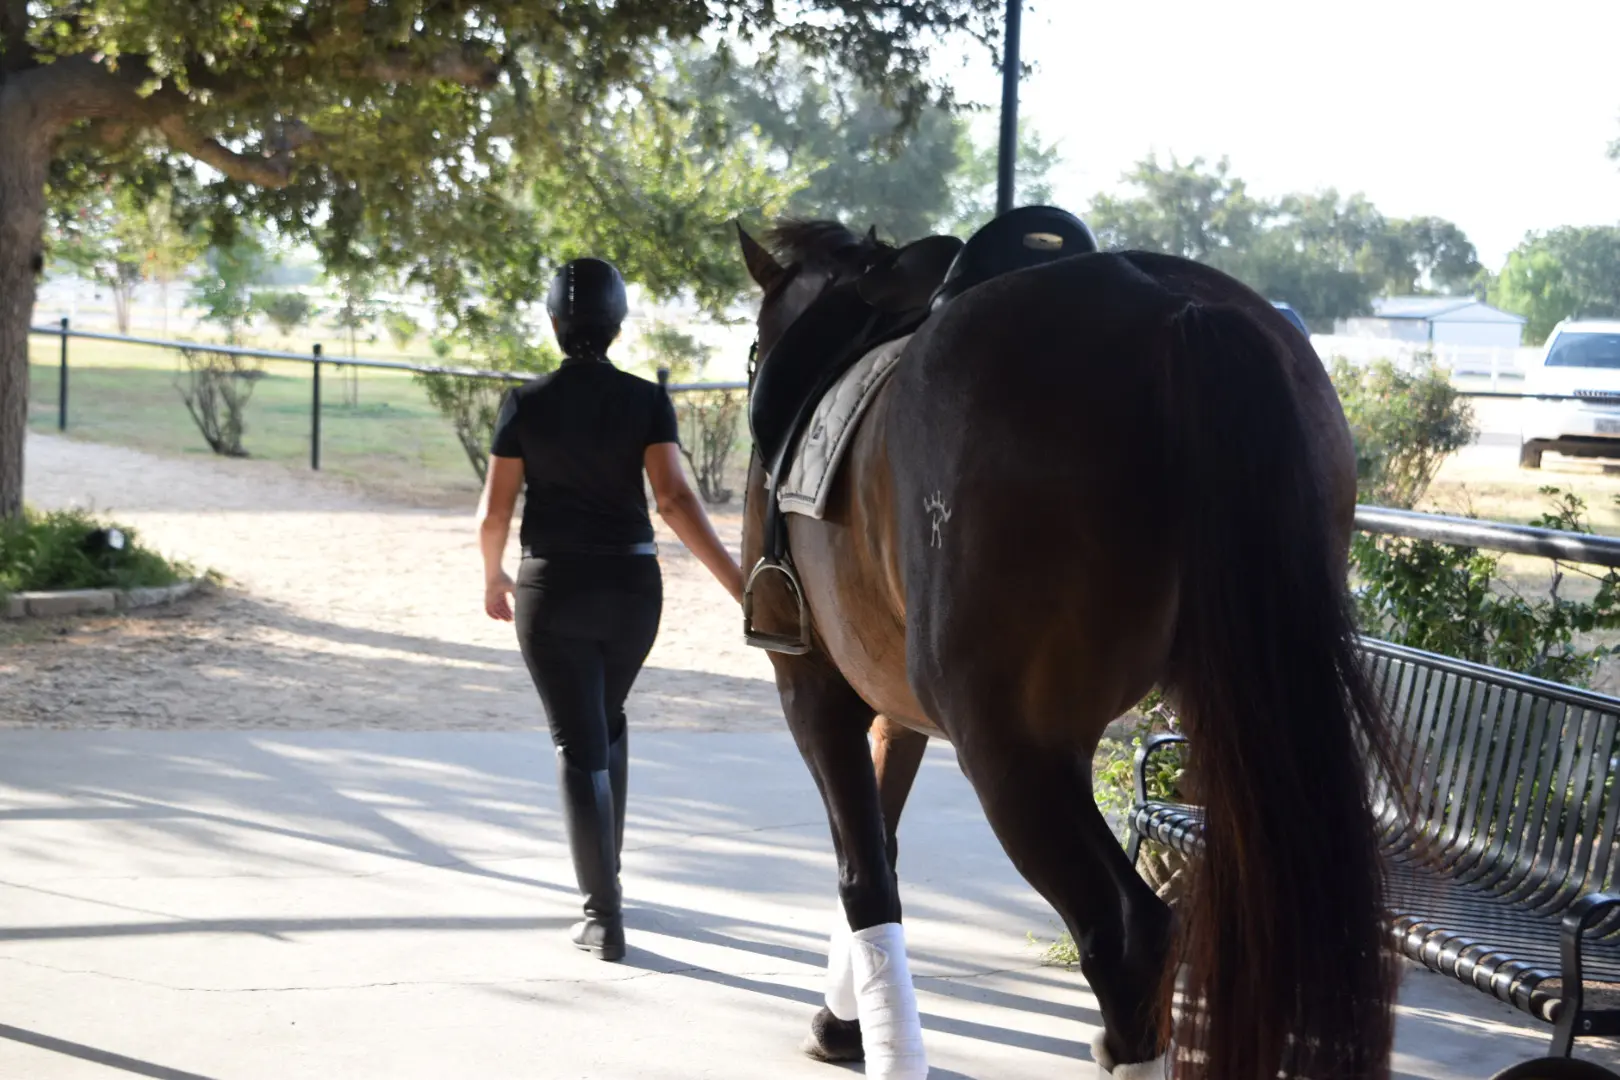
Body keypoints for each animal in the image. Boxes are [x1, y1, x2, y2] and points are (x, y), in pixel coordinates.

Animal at [741, 221, 1399, 1080]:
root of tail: (1169, 310)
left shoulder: (812, 686)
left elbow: (864, 872)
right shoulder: (895, 705)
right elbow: (882, 843)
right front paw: (844, 1022)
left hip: (1010, 749)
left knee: (1125, 938)